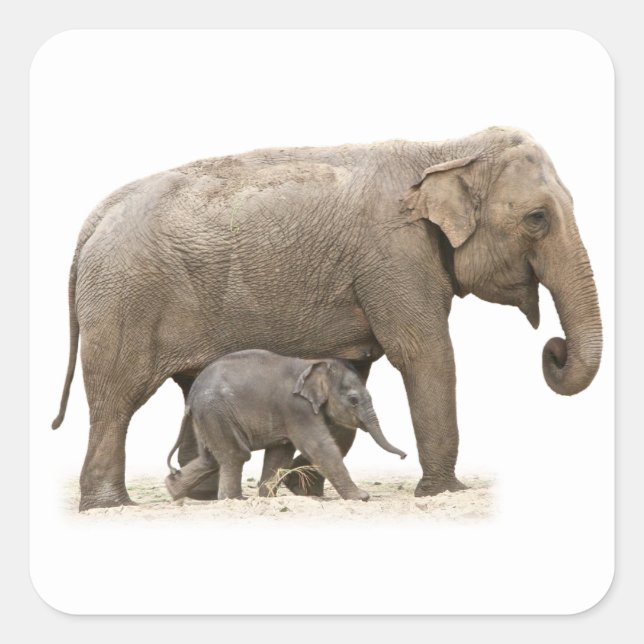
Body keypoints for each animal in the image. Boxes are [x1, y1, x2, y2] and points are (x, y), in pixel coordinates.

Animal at [164, 349, 407, 502]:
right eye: (354, 400)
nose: (404, 457)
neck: (314, 364)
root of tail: (191, 398)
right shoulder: (297, 408)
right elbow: (319, 447)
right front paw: (362, 497)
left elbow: (280, 453)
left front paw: (267, 498)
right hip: (216, 412)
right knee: (236, 454)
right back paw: (234, 500)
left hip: (208, 416)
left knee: (211, 458)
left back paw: (173, 491)